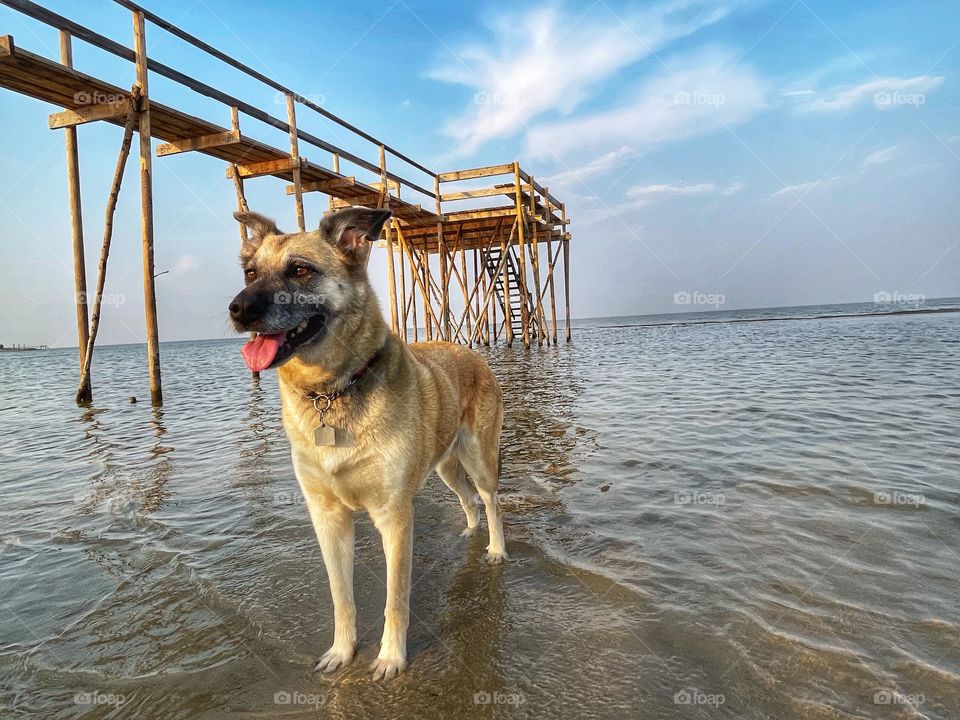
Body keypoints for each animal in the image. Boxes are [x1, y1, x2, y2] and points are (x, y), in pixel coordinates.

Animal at [229, 204, 506, 680]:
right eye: (250, 272)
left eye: (300, 270)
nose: (237, 309)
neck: (333, 390)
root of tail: (471, 351)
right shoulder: (328, 517)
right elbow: (341, 596)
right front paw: (342, 651)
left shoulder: (394, 516)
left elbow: (395, 599)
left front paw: (391, 658)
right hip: (446, 468)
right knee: (468, 500)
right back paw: (469, 534)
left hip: (479, 458)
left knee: (490, 501)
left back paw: (495, 550)